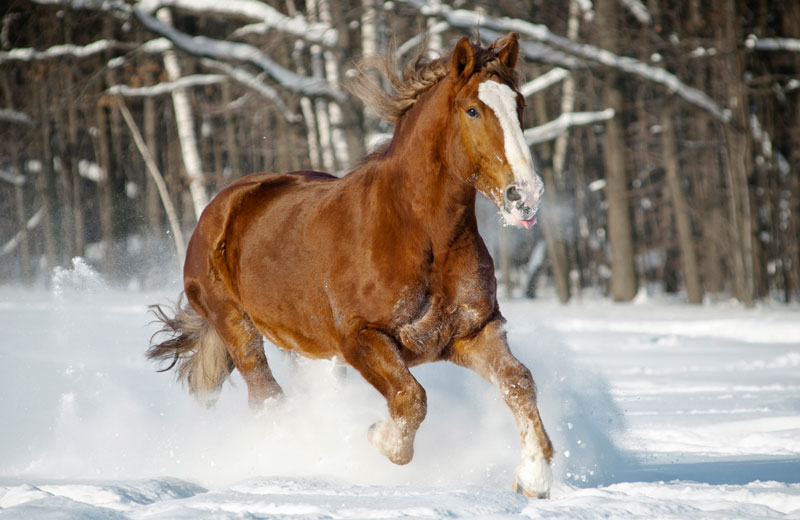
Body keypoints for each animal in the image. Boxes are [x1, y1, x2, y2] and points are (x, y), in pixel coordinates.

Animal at [147, 33, 552, 500]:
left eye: (519, 104)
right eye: (473, 109)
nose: (524, 195)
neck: (421, 236)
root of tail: (218, 208)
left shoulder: (473, 333)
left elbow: (519, 382)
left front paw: (534, 479)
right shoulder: (360, 338)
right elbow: (411, 398)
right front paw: (376, 436)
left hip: (306, 347)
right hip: (237, 326)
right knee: (267, 398)